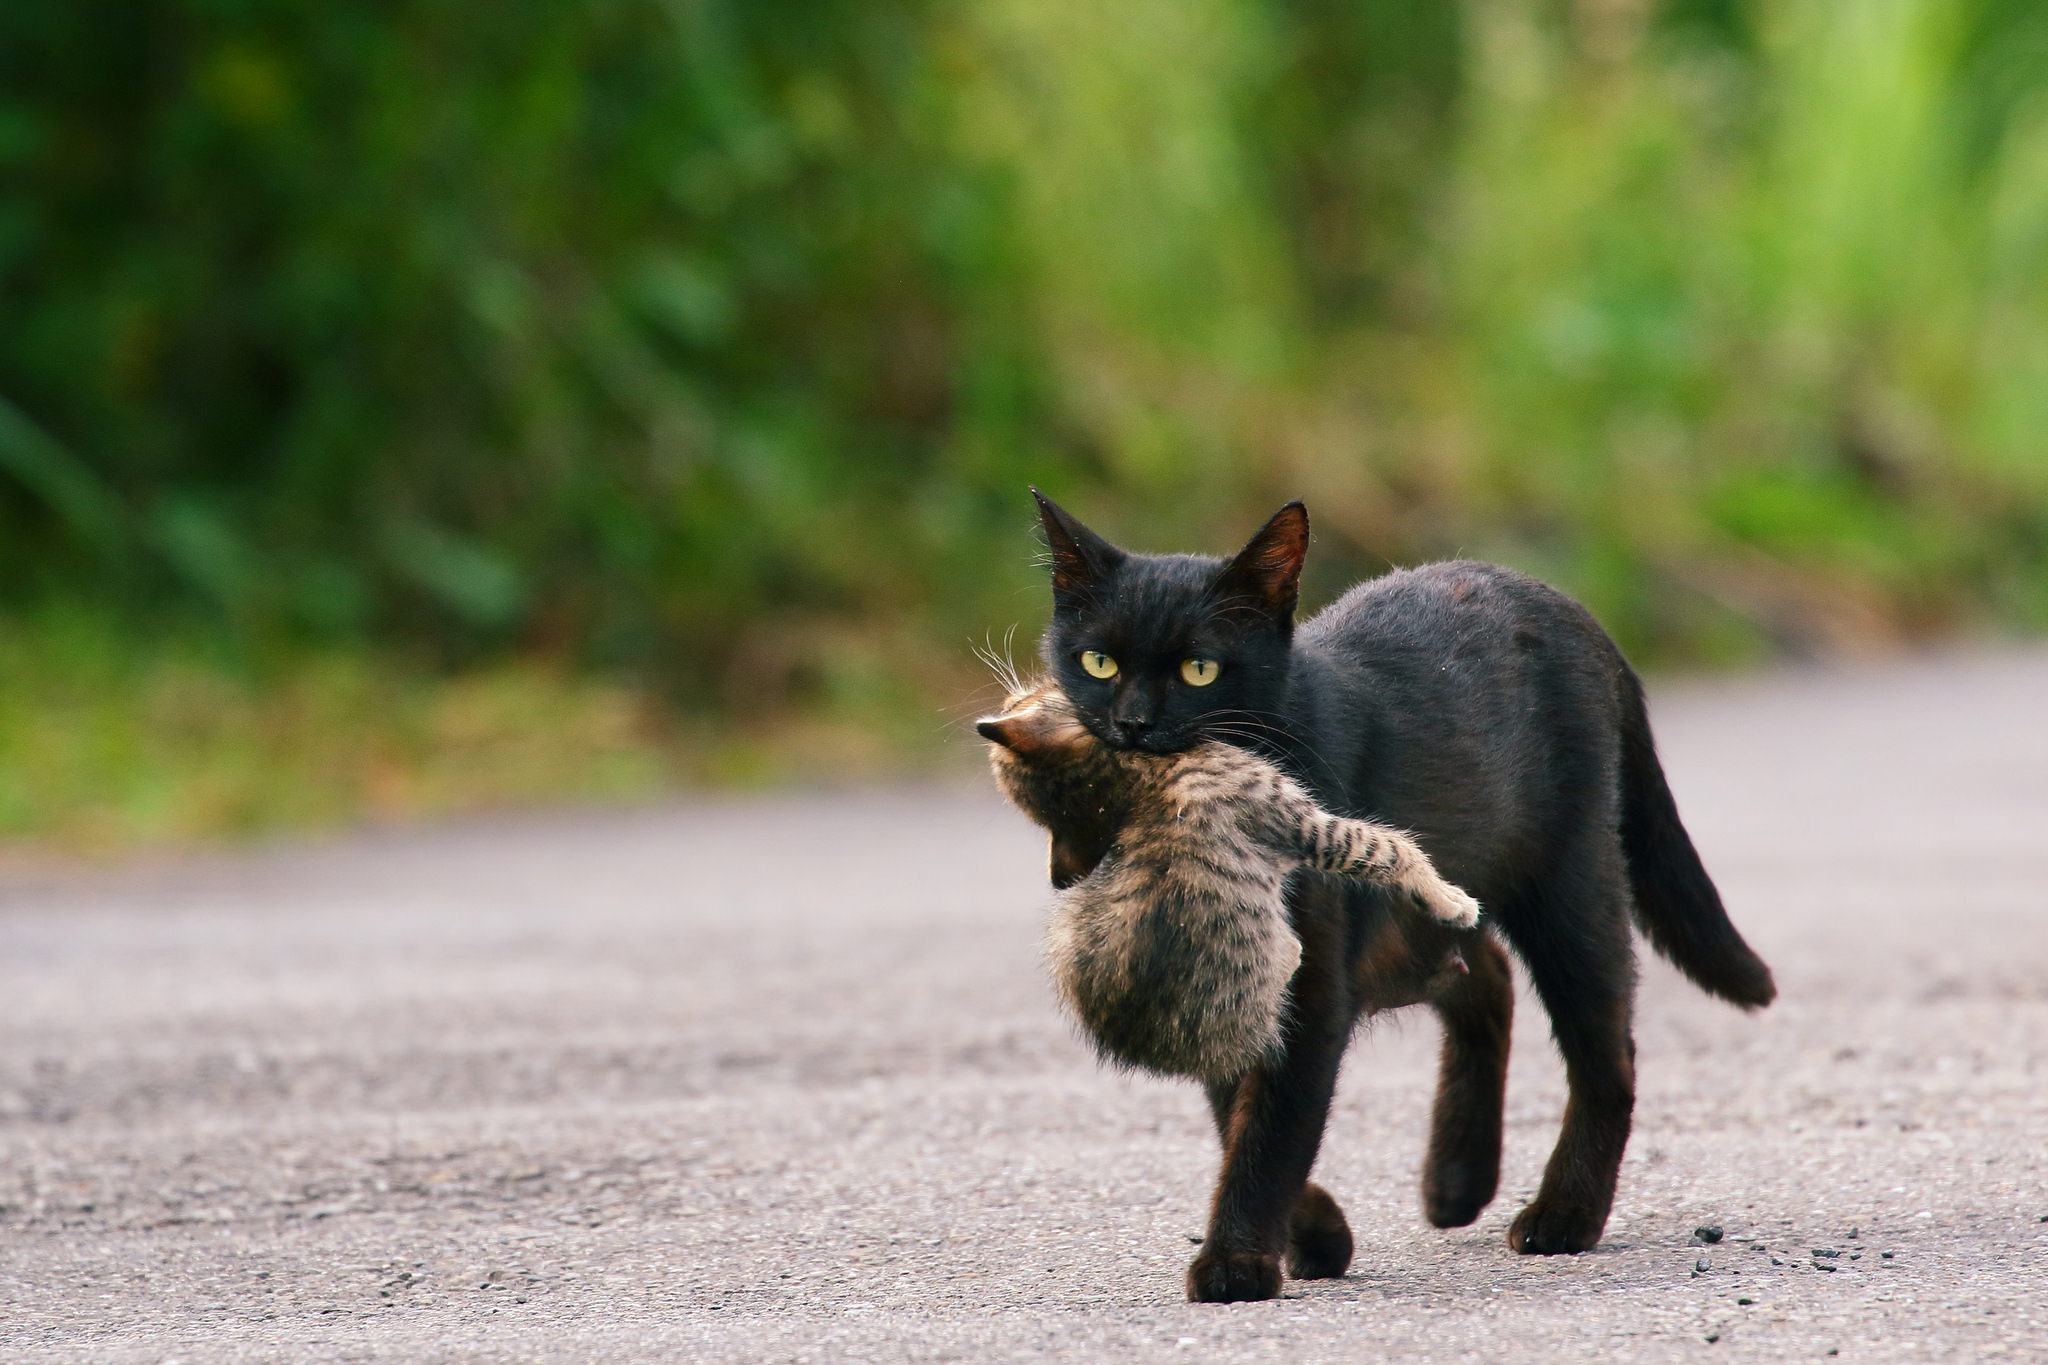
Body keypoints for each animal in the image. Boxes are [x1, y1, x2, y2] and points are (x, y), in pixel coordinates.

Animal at [978, 683, 1482, 1088]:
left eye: (1016, 701)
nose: (1004, 699)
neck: (1136, 776)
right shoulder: (1299, 824)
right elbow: (1389, 847)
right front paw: (1449, 899)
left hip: (1069, 927)